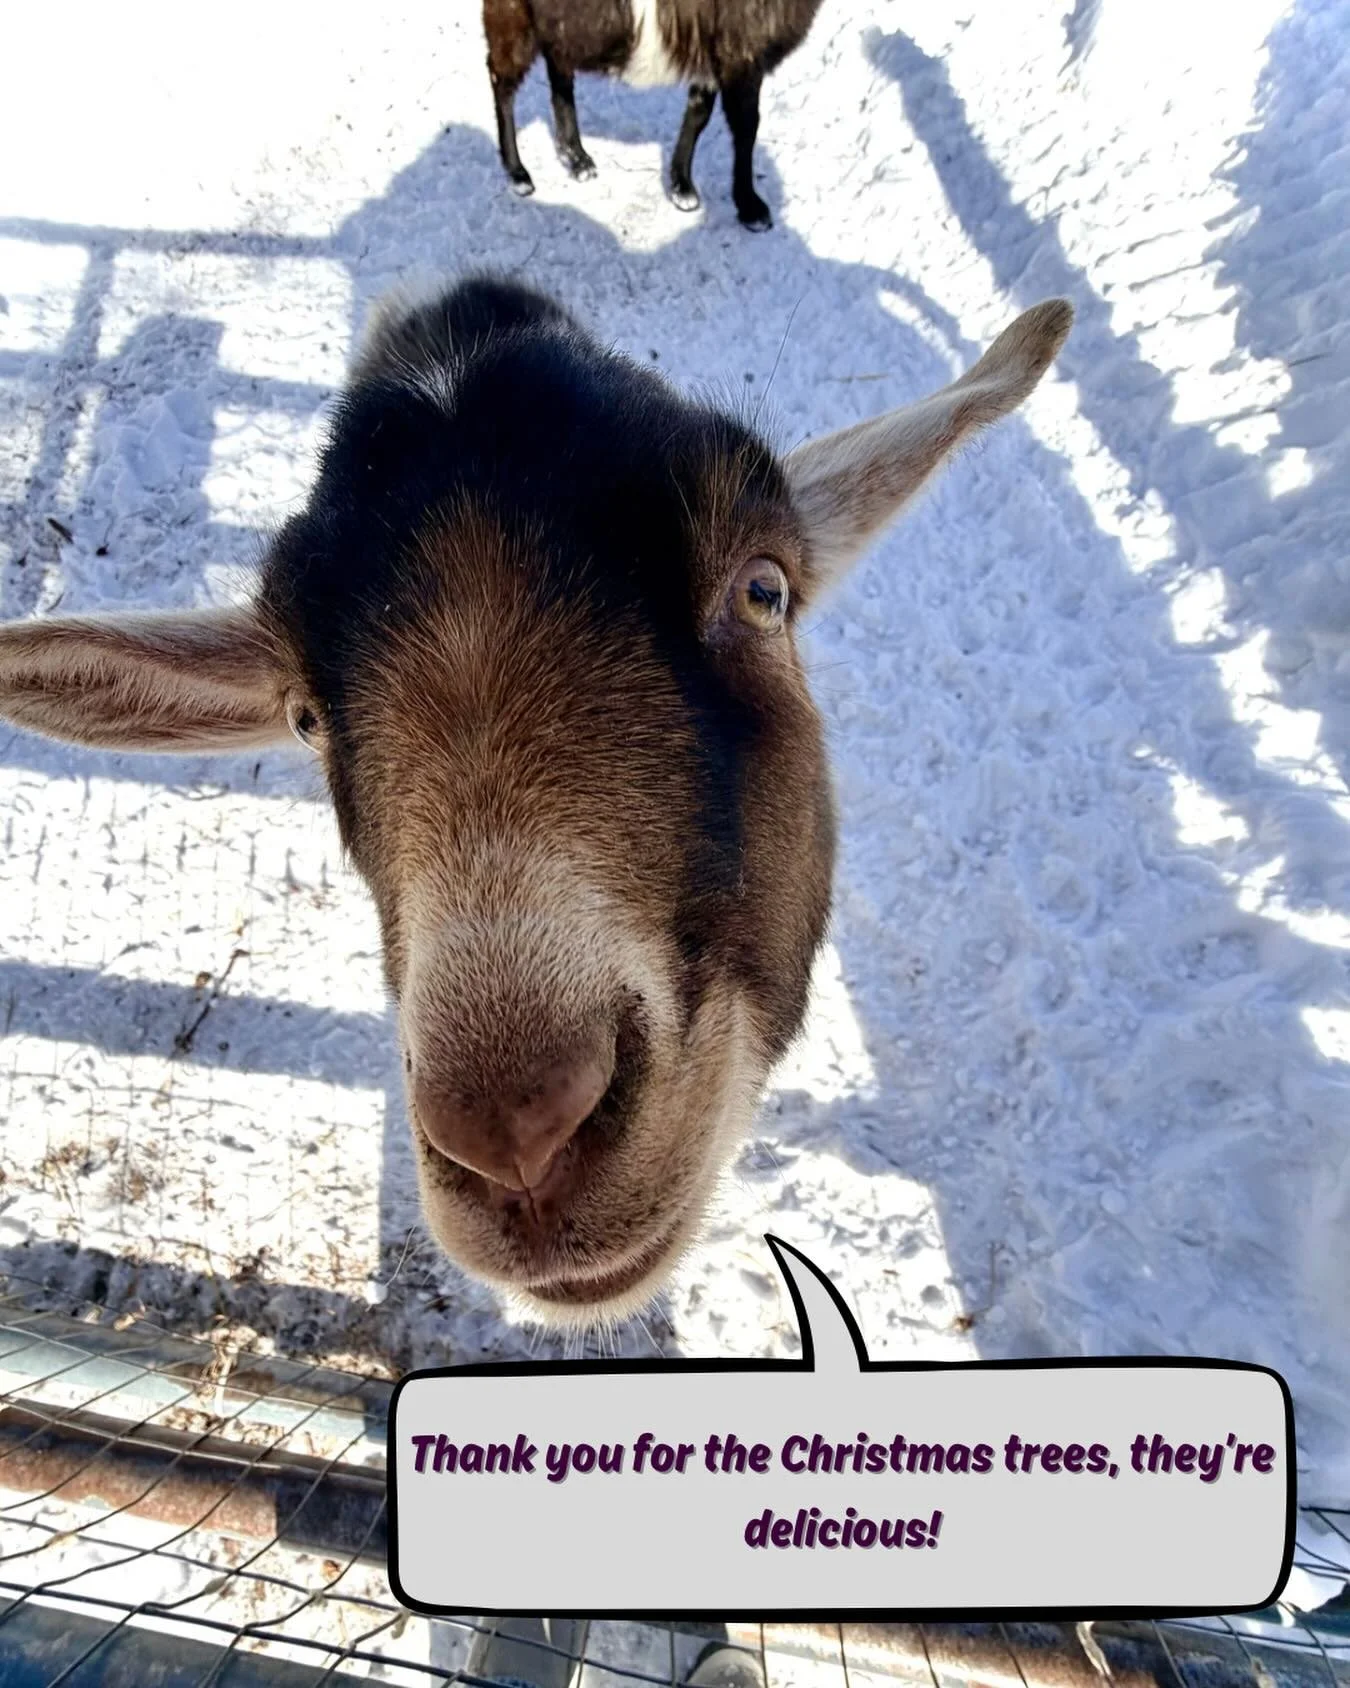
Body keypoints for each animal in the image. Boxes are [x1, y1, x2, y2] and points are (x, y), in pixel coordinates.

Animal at [483, 0, 825, 229]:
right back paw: (518, 174)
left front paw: (682, 188)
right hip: (512, 16)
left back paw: (578, 160)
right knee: (502, 81)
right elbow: (746, 127)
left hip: (560, 27)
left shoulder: (712, 53)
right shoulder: (740, 55)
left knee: (558, 74)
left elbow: (699, 114)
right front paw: (751, 208)